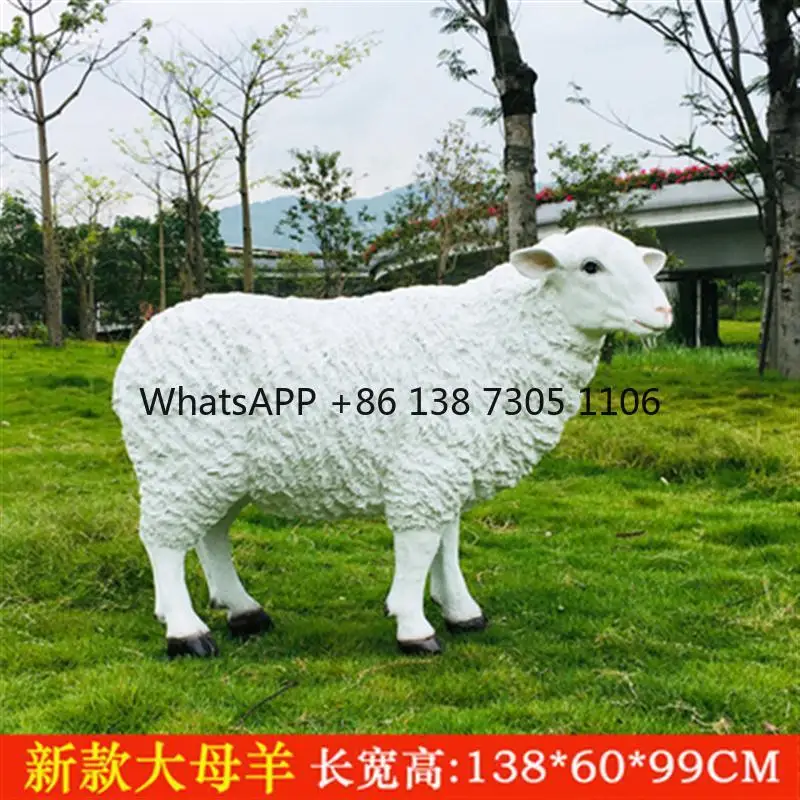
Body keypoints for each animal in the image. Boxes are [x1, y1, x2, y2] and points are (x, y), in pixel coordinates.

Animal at [111, 225, 672, 658]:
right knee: (163, 540)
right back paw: (186, 632)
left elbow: (447, 543)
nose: (664, 312)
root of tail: (141, 341)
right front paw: (414, 628)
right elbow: (421, 546)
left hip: (218, 466)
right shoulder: (428, 464)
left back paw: (244, 611)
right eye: (591, 266)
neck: (497, 337)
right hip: (182, 458)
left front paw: (462, 611)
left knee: (211, 536)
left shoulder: (444, 465)